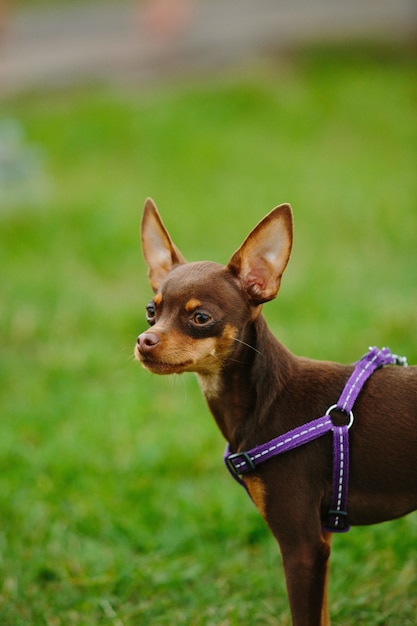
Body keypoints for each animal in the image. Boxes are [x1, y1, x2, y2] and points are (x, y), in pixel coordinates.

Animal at [135, 197, 414, 620]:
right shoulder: (321, 540)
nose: (144, 340)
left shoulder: (303, 548)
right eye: (152, 311)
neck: (265, 399)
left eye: (200, 318)